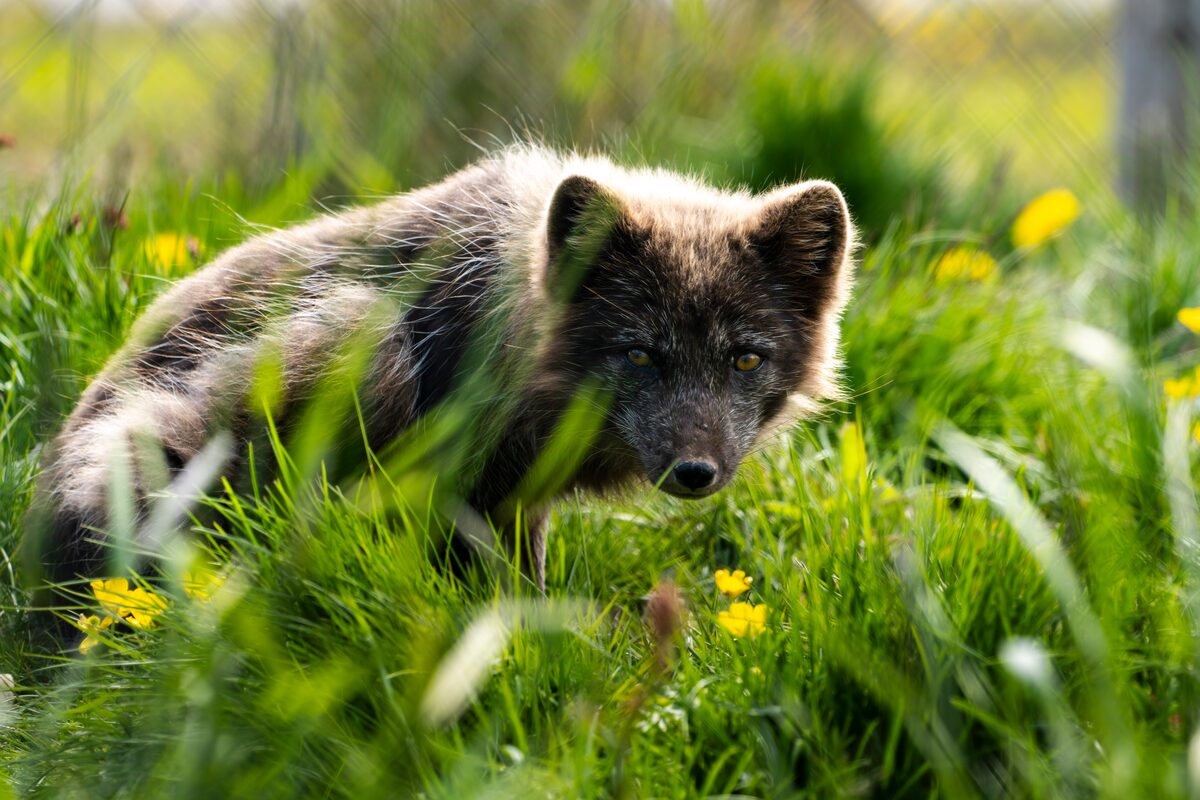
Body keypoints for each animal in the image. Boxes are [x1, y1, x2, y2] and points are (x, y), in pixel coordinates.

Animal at [23, 146, 856, 611]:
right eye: (640, 355)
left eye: (745, 359)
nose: (694, 472)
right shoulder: (469, 490)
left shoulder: (519, 497)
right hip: (356, 335)